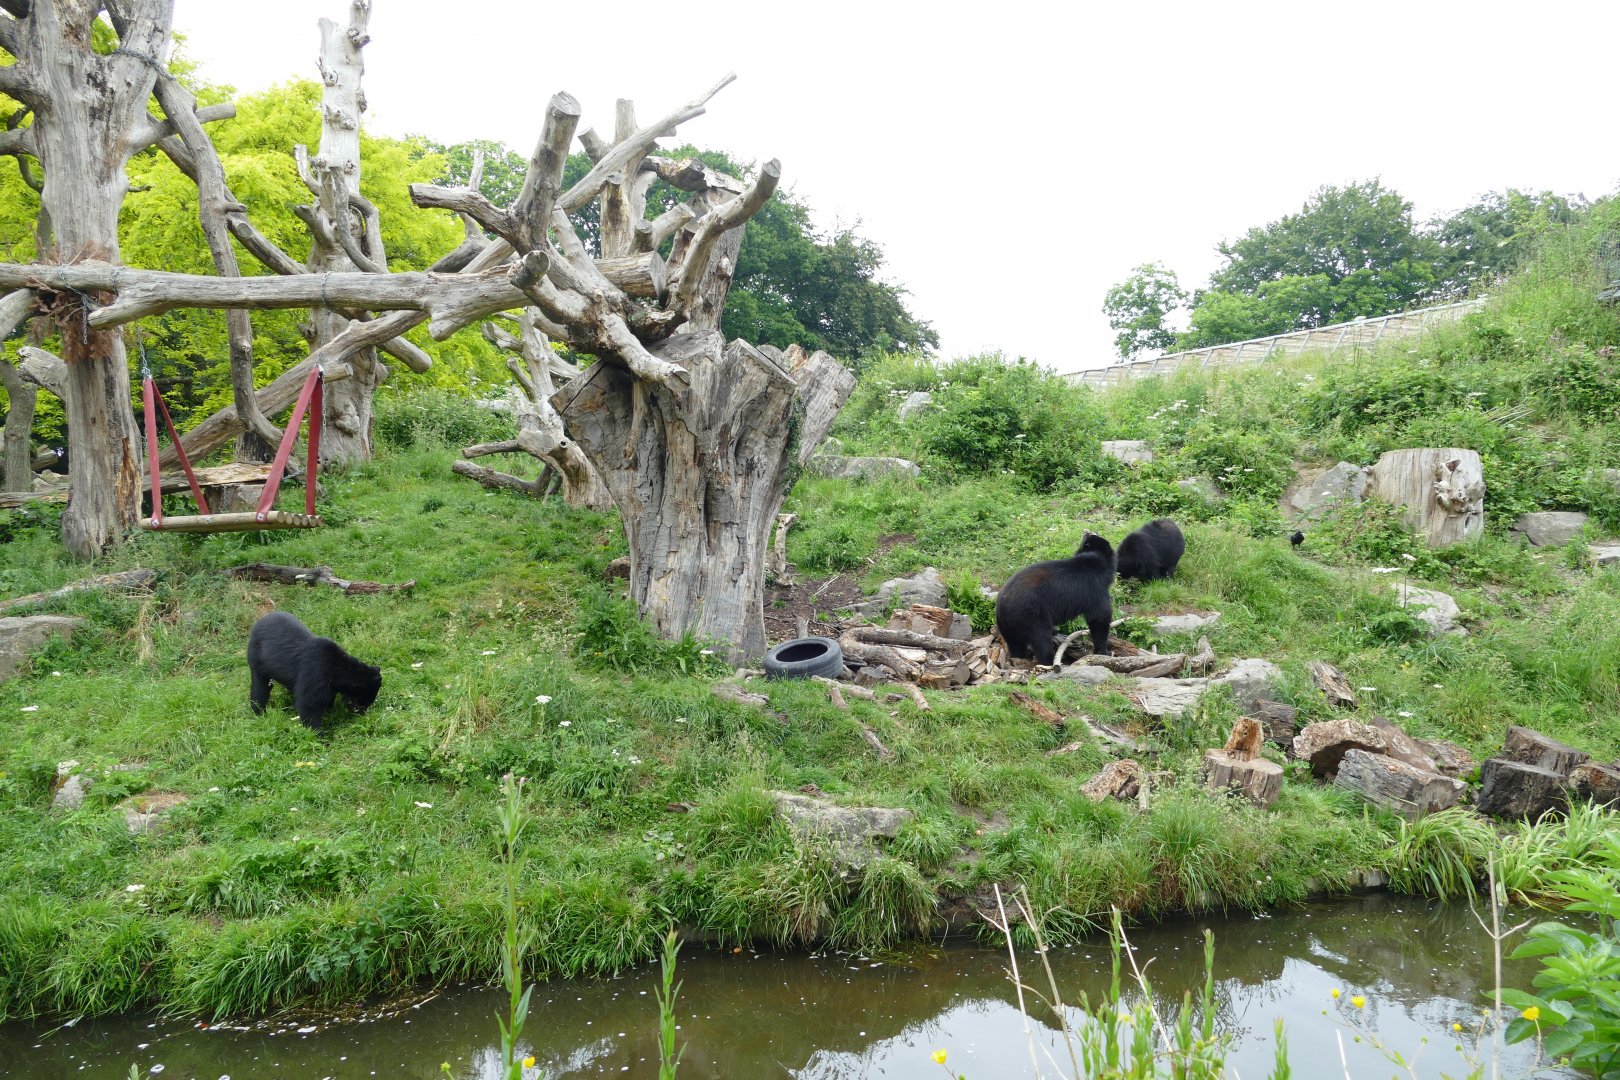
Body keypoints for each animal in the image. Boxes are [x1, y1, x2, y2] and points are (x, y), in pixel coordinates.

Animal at [248, 610, 382, 731]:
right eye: (361, 704)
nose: (362, 715)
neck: (337, 672)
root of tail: (257, 623)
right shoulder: (314, 673)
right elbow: (309, 705)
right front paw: (319, 734)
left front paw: (328, 711)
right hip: (257, 660)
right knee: (260, 688)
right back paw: (259, 712)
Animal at [994, 532, 1115, 664]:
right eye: (1092, 535)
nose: (1086, 531)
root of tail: (1001, 607)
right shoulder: (1095, 590)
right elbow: (1099, 618)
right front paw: (1105, 651)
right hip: (1031, 615)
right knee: (1041, 640)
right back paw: (1048, 661)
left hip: (1007, 627)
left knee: (1016, 645)